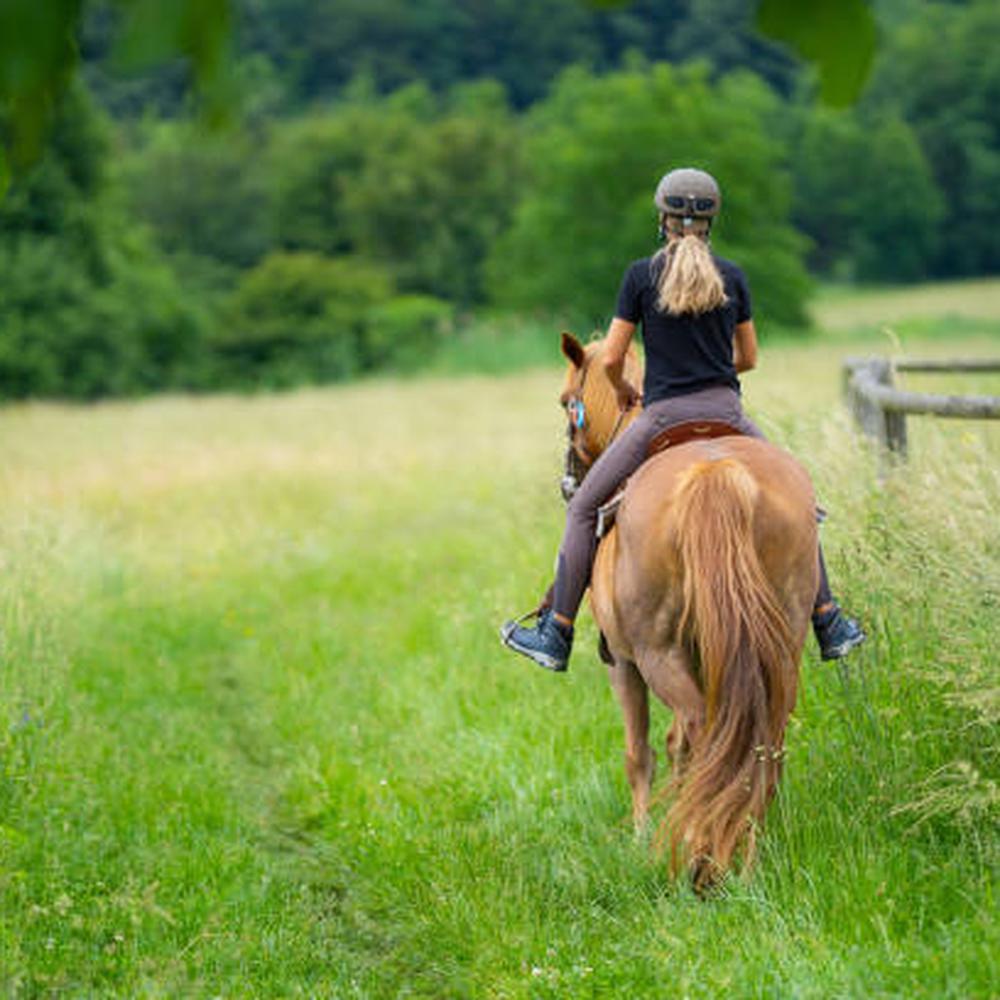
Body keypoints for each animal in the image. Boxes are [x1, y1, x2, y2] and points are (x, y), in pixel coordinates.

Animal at [560, 332, 816, 888]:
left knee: (699, 733)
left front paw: (640, 837)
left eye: (566, 400)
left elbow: (642, 752)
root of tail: (716, 473)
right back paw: (745, 851)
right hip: (780, 643)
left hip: (657, 655)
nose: (569, 483)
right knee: (759, 739)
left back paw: (699, 857)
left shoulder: (623, 663)